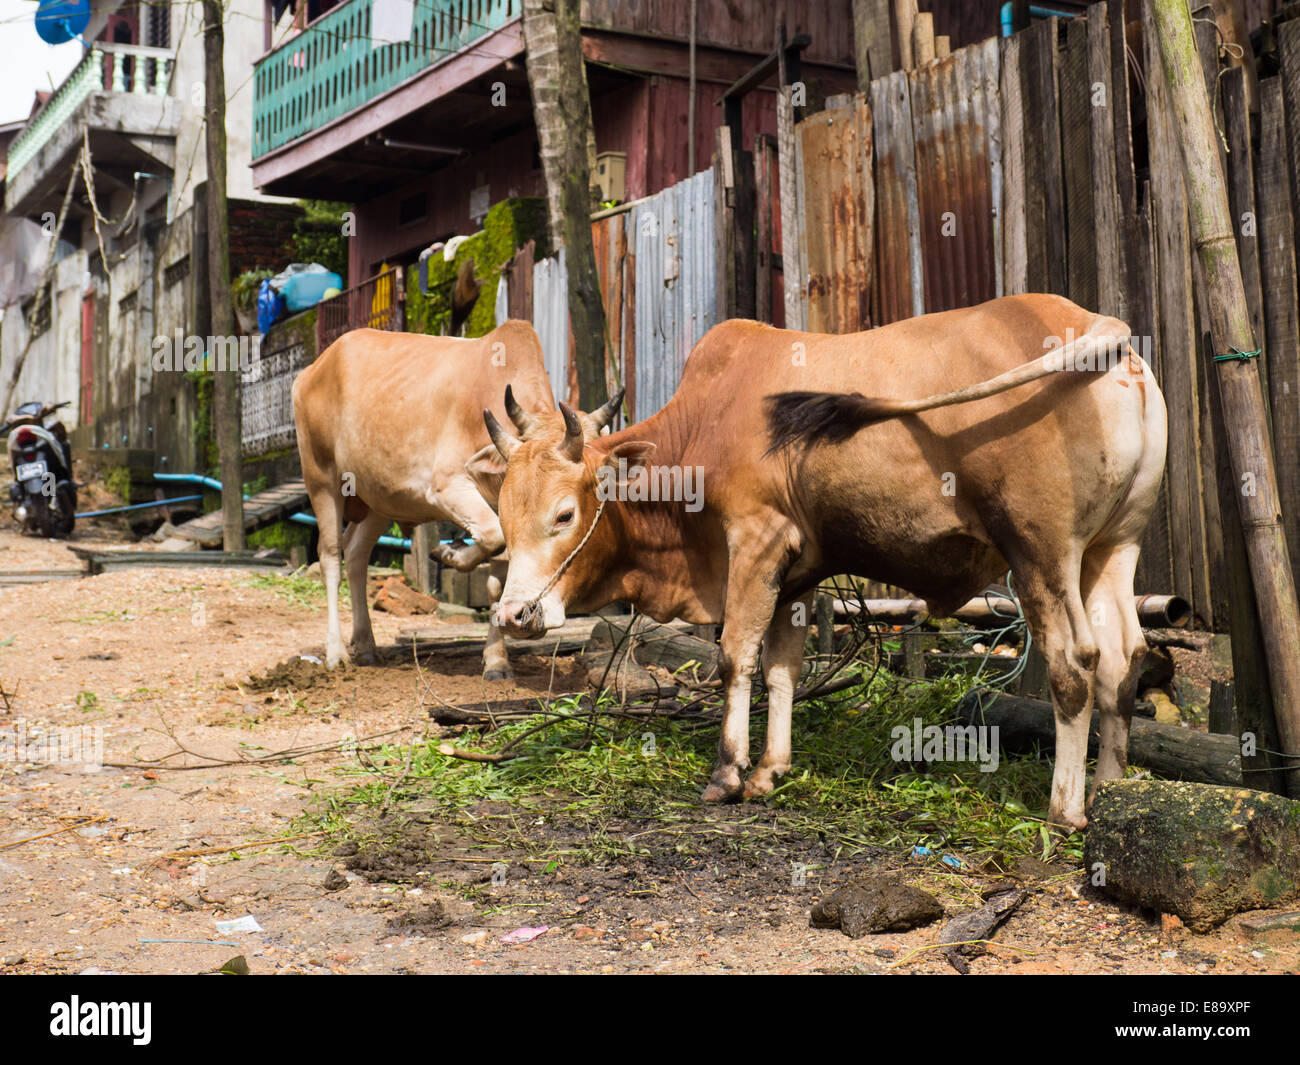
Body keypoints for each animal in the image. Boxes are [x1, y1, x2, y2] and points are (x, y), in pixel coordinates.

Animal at [292, 321, 621, 681]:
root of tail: (313, 369)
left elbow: (498, 580)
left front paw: (497, 661)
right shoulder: (447, 488)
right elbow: (491, 537)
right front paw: (451, 554)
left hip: (378, 499)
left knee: (356, 555)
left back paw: (365, 645)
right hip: (321, 478)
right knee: (331, 557)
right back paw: (336, 652)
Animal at [478, 295, 1170, 827]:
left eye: (565, 515)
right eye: (504, 515)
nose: (514, 616)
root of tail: (1091, 323)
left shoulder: (754, 541)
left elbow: (735, 656)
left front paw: (727, 774)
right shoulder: (796, 573)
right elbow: (783, 668)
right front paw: (769, 771)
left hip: (1040, 551)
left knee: (1074, 663)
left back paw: (1065, 809)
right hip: (1114, 547)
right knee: (1124, 657)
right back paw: (1109, 789)